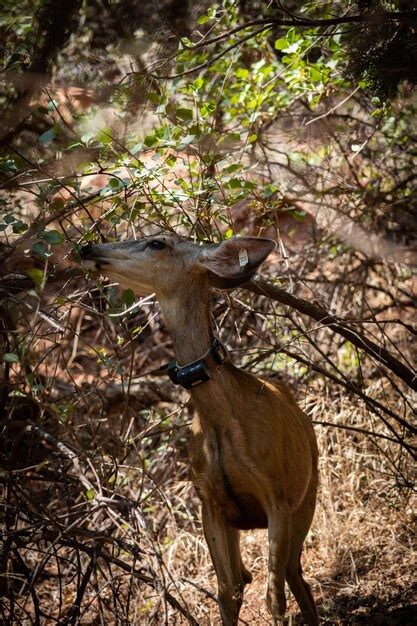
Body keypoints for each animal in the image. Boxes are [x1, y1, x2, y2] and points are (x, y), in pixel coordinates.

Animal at [78, 233, 318, 624]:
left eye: (157, 242)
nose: (88, 248)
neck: (222, 423)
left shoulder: (278, 496)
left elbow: (274, 598)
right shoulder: (209, 501)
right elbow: (226, 592)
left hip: (307, 499)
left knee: (295, 578)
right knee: (249, 577)